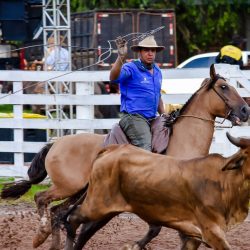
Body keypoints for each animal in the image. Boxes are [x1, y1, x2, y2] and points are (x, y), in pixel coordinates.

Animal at [63, 132, 250, 249]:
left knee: (82, 227)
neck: (224, 182)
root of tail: (113, 148)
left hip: (107, 210)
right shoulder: (212, 232)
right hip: (96, 205)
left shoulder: (193, 236)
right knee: (72, 218)